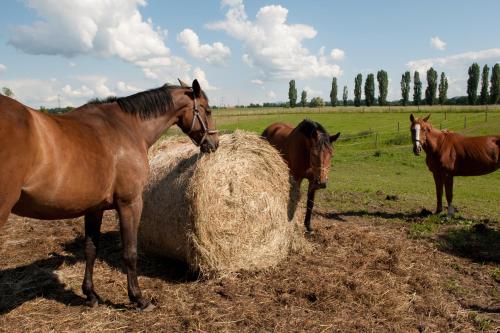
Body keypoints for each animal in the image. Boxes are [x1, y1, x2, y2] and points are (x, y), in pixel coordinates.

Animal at [0, 79, 219, 310]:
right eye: (208, 110)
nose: (214, 144)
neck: (127, 127)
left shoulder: (94, 209)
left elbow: (91, 249)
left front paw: (90, 294)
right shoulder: (130, 203)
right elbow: (130, 252)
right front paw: (138, 298)